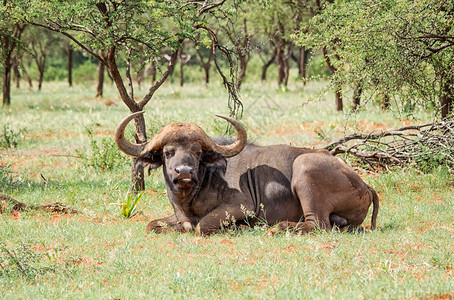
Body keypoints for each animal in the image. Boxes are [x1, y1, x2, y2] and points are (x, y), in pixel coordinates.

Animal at [115, 112, 378, 234]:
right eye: (168, 152)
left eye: (197, 152)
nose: (184, 172)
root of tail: (365, 186)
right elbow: (152, 225)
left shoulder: (239, 208)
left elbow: (201, 226)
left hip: (305, 166)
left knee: (317, 224)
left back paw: (277, 228)